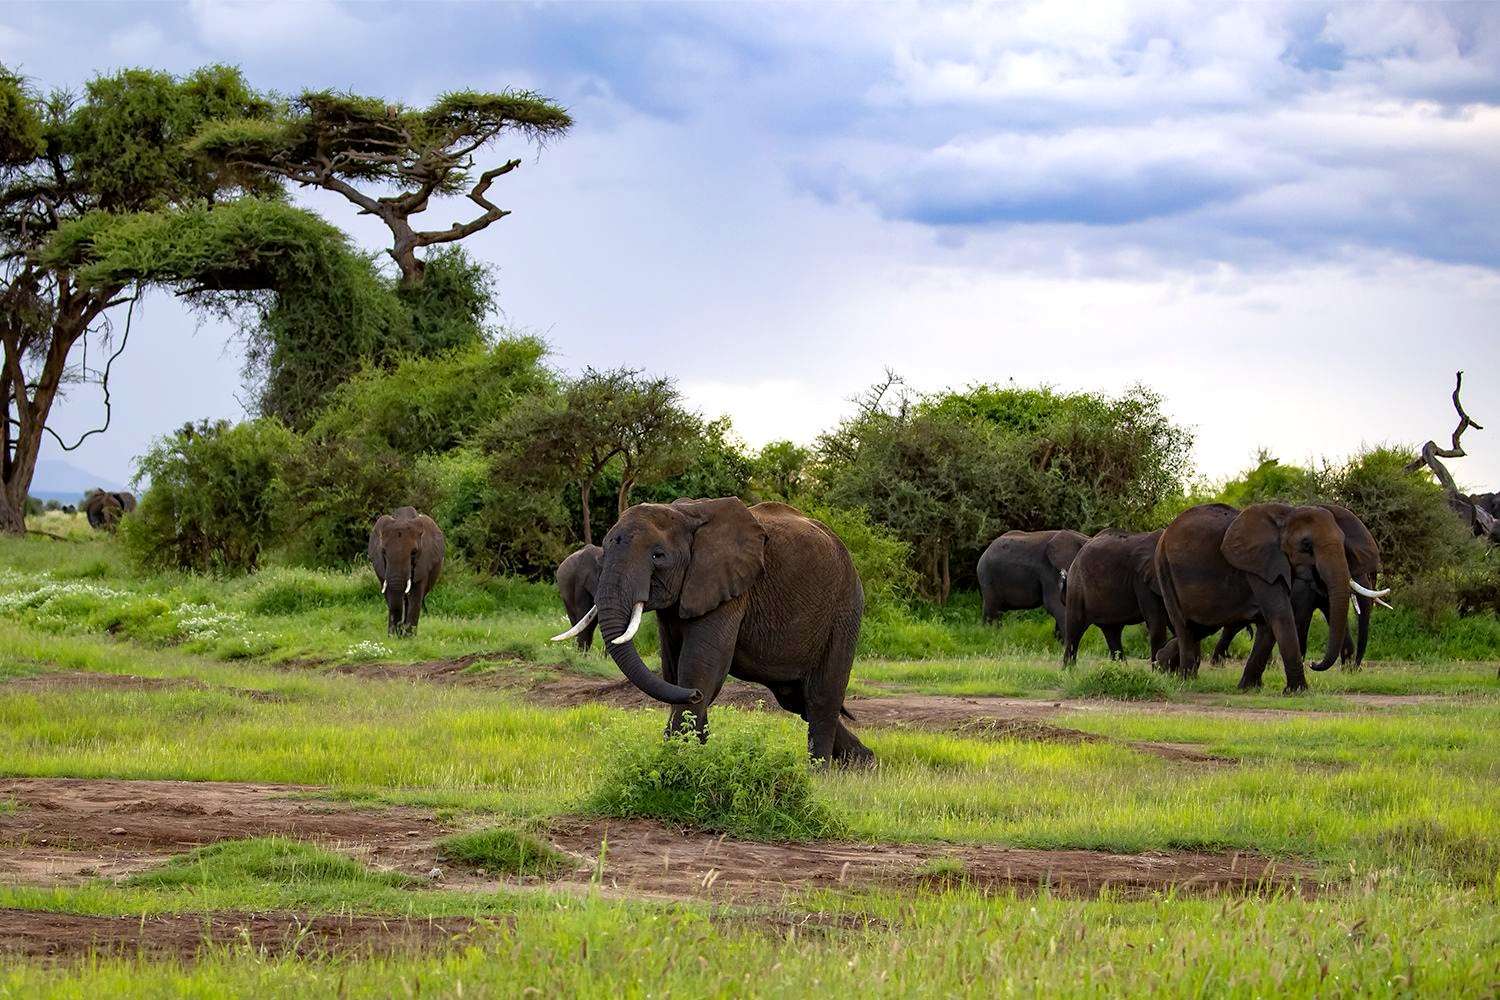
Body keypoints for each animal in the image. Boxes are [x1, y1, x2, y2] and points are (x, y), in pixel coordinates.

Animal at [366, 503, 441, 638]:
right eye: (383, 552)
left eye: (414, 553)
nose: (399, 628)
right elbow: (391, 596)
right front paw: (393, 637)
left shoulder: (424, 561)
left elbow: (415, 598)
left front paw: (408, 638)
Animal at [555, 497, 876, 767]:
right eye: (605, 552)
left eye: (658, 556)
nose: (695, 696)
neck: (684, 514)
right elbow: (675, 672)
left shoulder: (728, 588)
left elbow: (701, 667)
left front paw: (681, 760)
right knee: (795, 698)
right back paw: (863, 763)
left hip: (844, 609)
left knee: (821, 697)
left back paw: (820, 773)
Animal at [1056, 530, 1170, 665]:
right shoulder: (1142, 581)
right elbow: (1157, 624)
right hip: (1077, 588)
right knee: (1074, 631)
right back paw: (1069, 669)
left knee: (1113, 633)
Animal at [1152, 503, 1386, 692]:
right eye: (1306, 545)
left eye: (1344, 545)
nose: (1314, 664)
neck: (1287, 516)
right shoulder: (1260, 564)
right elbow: (1281, 614)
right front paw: (1298, 692)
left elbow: (1269, 624)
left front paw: (1249, 688)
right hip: (1164, 569)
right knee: (1184, 626)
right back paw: (1185, 680)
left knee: (1201, 626)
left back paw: (1161, 665)